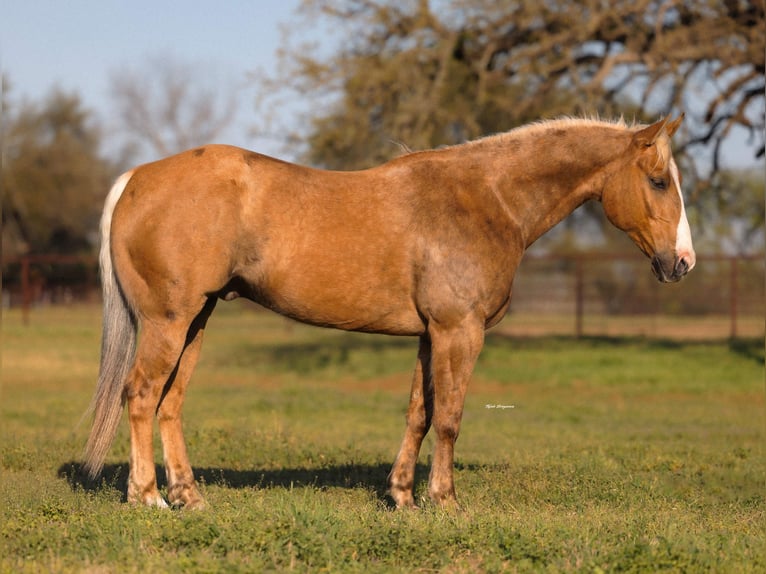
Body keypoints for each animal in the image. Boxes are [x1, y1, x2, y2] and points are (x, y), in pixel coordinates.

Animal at [83, 115, 695, 509]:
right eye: (659, 181)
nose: (682, 262)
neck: (487, 199)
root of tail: (136, 178)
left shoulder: (430, 335)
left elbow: (419, 414)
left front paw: (402, 495)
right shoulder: (459, 332)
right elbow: (449, 418)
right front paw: (445, 502)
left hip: (197, 320)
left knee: (170, 404)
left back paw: (188, 496)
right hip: (169, 322)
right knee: (142, 396)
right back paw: (147, 497)